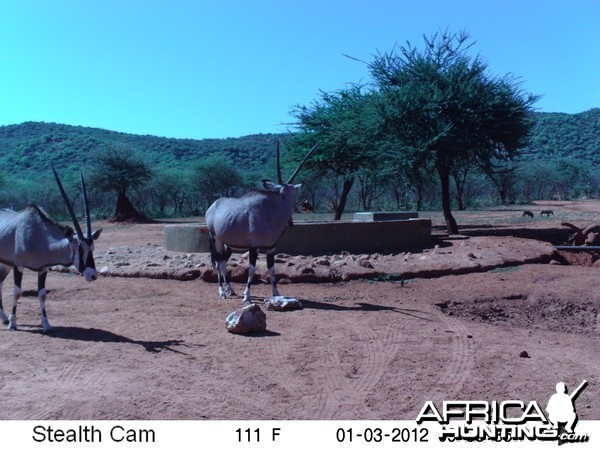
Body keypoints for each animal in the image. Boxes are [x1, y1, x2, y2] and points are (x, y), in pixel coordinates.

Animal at [0, 167, 102, 332]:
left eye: (92, 248)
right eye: (80, 249)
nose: (92, 275)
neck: (38, 234)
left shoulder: (43, 269)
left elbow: (42, 294)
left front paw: (47, 325)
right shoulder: (18, 266)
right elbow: (17, 293)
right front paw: (13, 324)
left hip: (5, 264)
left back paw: (3, 317)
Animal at [205, 142, 318, 302]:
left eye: (292, 195)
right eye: (281, 195)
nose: (290, 222)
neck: (269, 212)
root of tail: (213, 206)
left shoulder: (271, 248)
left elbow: (271, 270)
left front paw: (276, 293)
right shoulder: (254, 247)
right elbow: (252, 270)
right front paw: (247, 296)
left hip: (228, 244)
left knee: (223, 263)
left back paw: (230, 290)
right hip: (216, 239)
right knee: (218, 261)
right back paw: (222, 292)